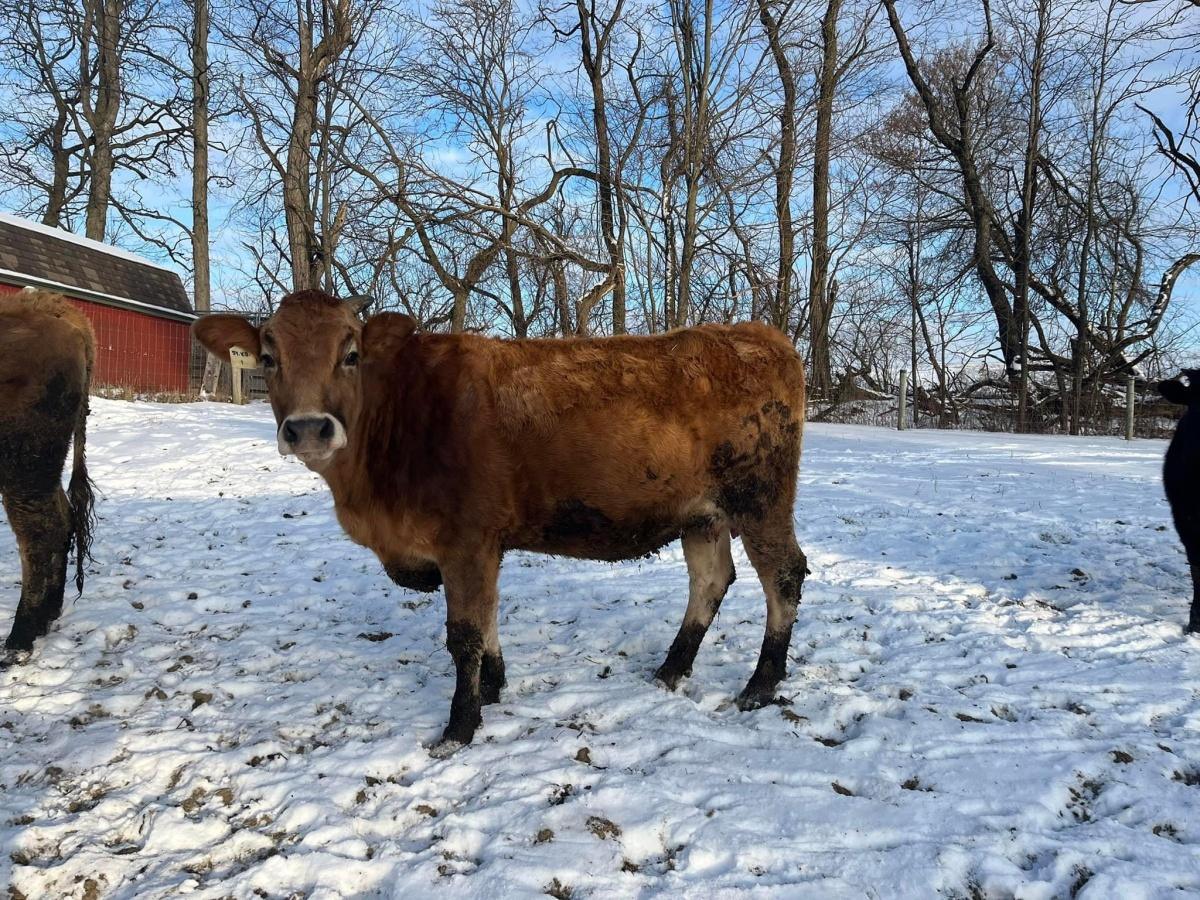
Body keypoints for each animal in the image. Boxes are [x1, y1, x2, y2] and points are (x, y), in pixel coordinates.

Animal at [196, 290, 811, 753]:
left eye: (350, 354)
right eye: (268, 357)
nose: (308, 428)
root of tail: (759, 335)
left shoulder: (465, 541)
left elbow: (464, 633)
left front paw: (460, 725)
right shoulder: (480, 547)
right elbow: (488, 618)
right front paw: (493, 688)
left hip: (761, 500)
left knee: (784, 575)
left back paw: (760, 685)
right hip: (702, 515)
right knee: (710, 580)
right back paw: (669, 671)